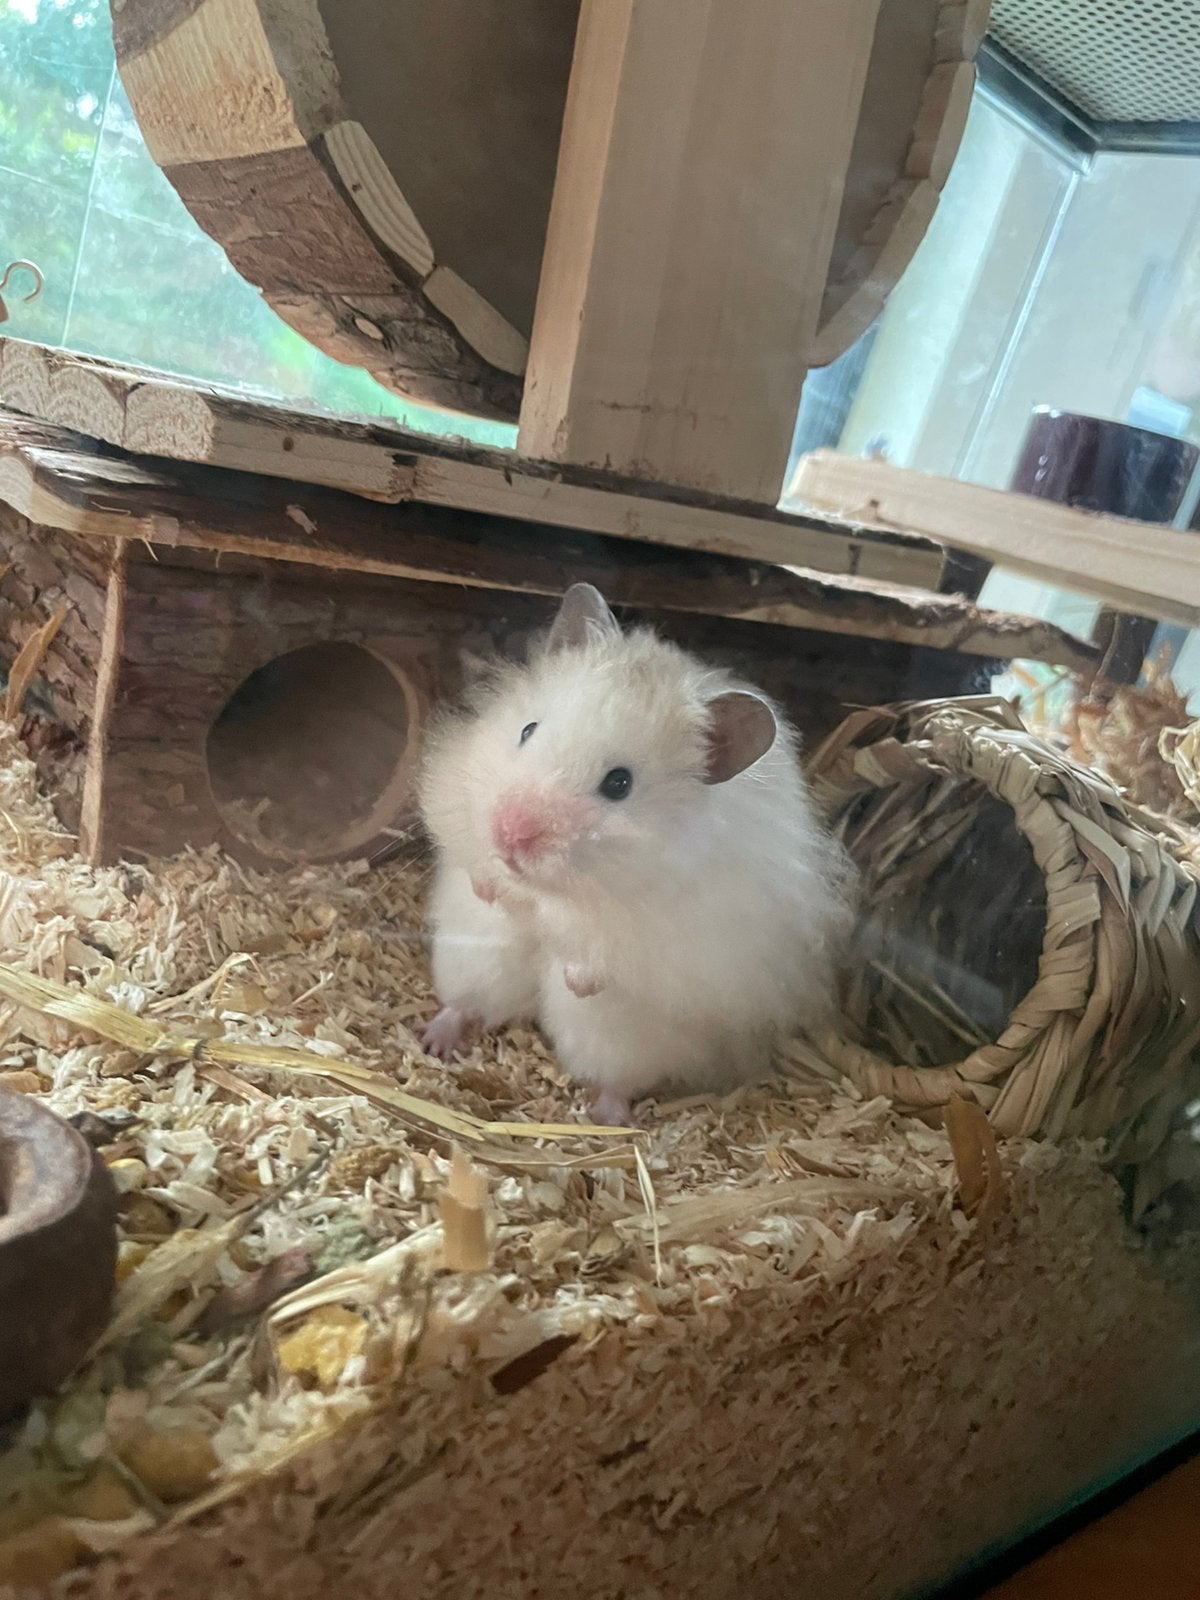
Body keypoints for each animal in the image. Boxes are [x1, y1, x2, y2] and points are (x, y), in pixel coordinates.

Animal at [418, 584, 855, 1125]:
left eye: (619, 784)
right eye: (527, 730)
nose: (510, 833)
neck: (556, 890)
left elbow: (602, 951)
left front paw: (577, 977)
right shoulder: (459, 804)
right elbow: (475, 864)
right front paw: (492, 891)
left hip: (623, 1038)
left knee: (616, 1078)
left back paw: (606, 1118)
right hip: (472, 960)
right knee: (465, 1003)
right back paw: (432, 1041)